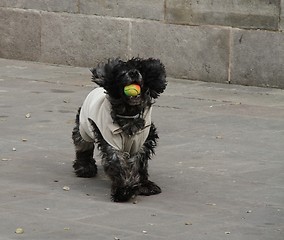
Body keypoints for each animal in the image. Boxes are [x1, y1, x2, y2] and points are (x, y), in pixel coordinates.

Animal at [72, 58, 168, 202]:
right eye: (121, 73)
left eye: (140, 69)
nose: (133, 73)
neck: (129, 114)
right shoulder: (112, 144)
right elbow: (119, 165)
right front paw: (124, 190)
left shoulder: (142, 143)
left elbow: (139, 165)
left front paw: (144, 185)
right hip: (83, 129)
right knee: (83, 147)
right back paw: (85, 168)